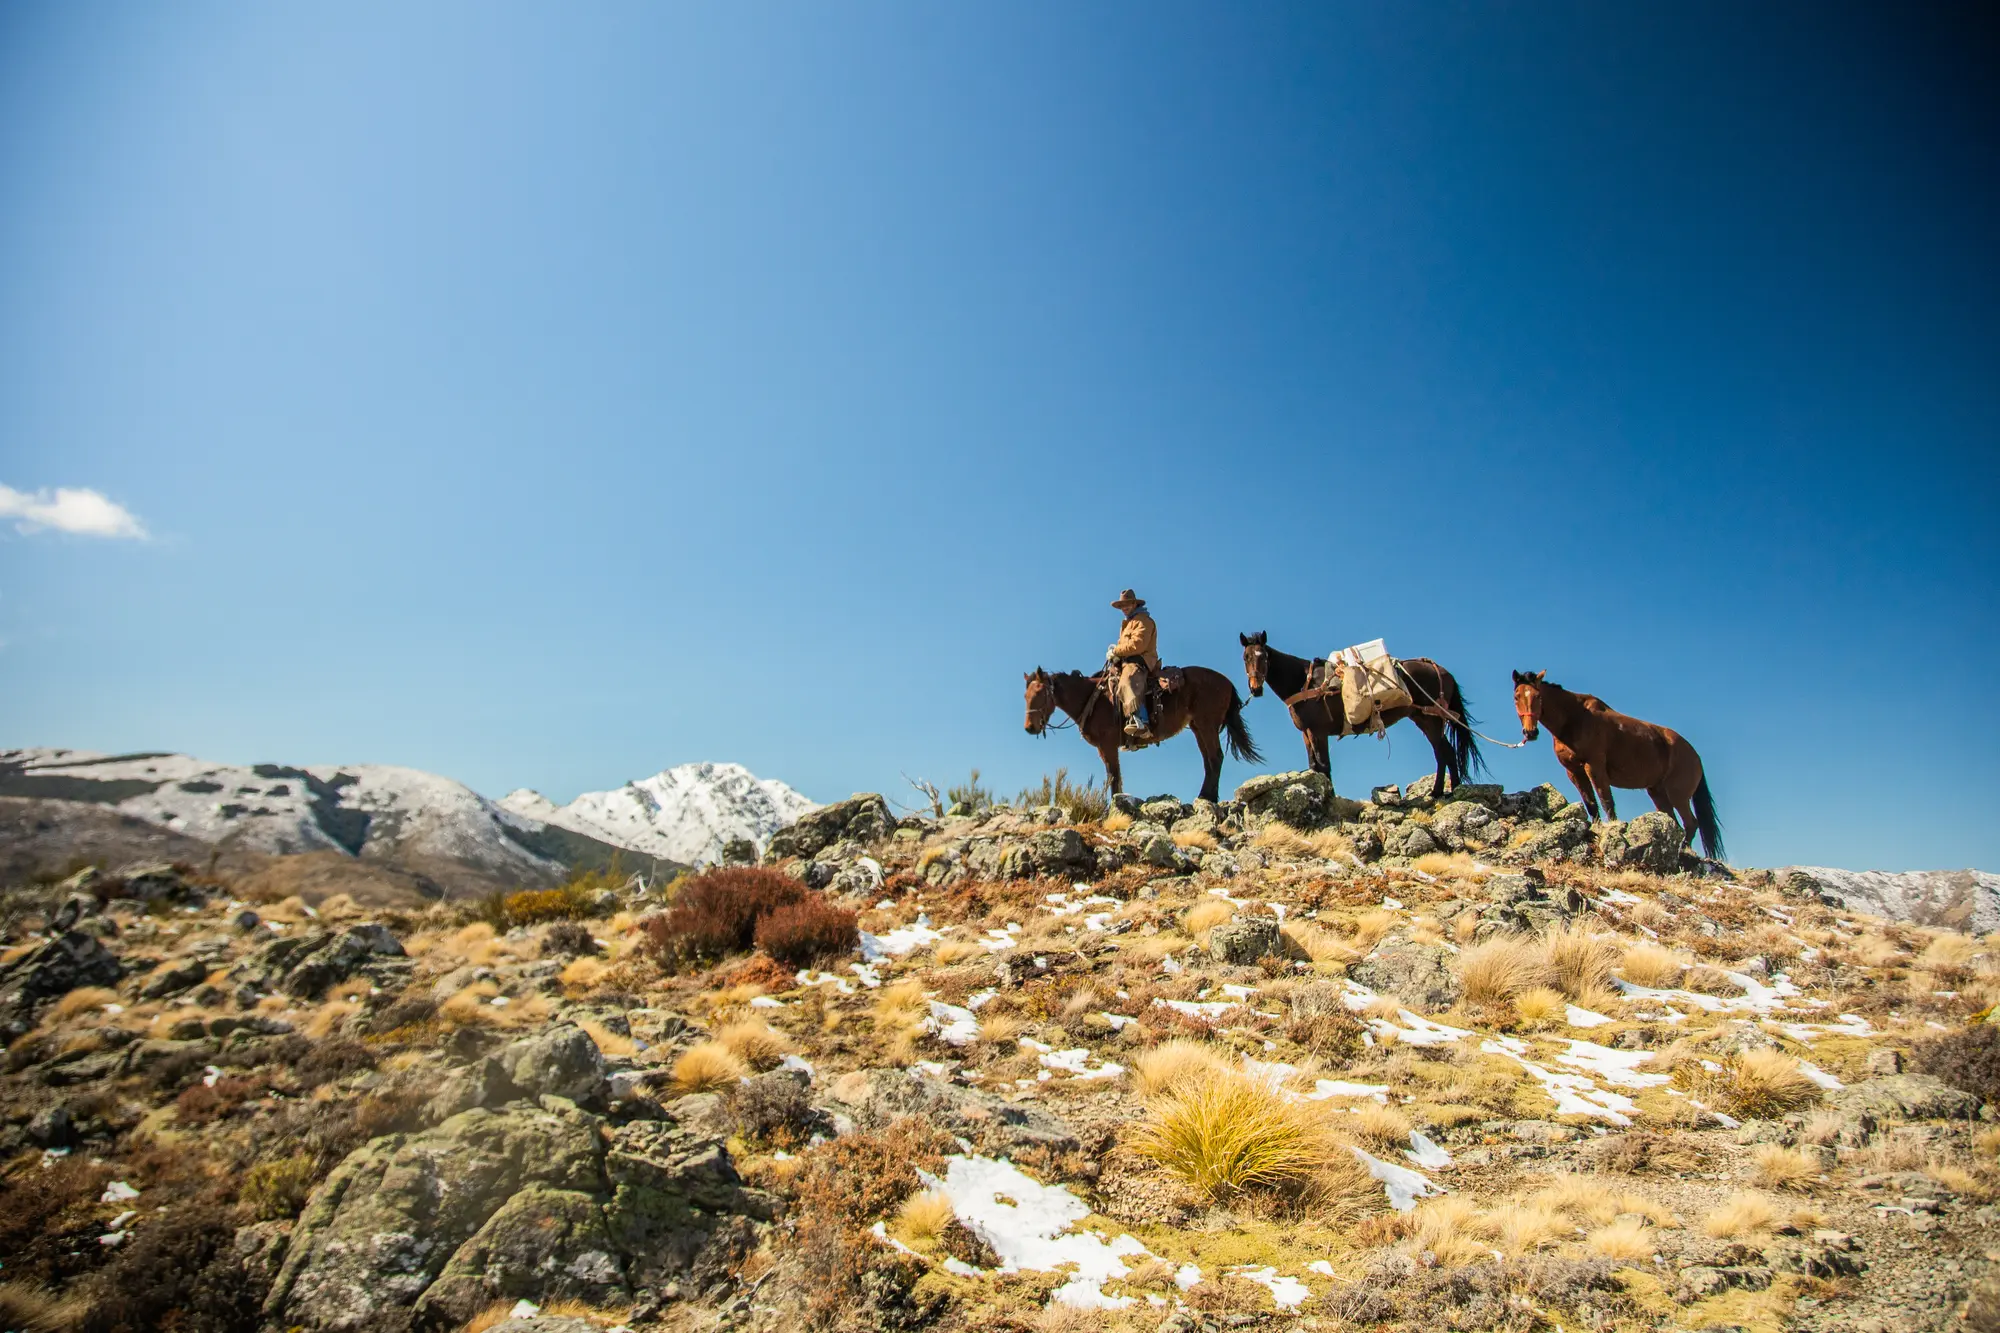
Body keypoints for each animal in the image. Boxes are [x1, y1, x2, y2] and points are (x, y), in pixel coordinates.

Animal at [1023, 666, 1261, 802]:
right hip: (1198, 727)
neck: (1093, 699)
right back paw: (1206, 796)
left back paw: (1207, 797)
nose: (1029, 727)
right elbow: (1115, 777)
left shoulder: (1107, 746)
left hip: (1206, 725)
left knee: (1215, 757)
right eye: (1026, 696)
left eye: (1041, 693)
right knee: (1209, 761)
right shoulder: (1105, 748)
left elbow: (1114, 776)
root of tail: (1227, 682)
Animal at [1238, 632, 1485, 795]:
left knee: (1444, 753)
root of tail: (1442, 670)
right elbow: (1314, 766)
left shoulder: (1318, 732)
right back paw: (1442, 791)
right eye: (1246, 658)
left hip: (1432, 719)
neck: (1303, 683)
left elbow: (1324, 766)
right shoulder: (1306, 733)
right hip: (1423, 719)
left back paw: (1445, 792)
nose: (1255, 689)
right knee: (1443, 752)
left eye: (1264, 657)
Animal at [1511, 670, 1724, 861]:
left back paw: (1683, 850)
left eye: (1538, 696)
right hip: (1657, 792)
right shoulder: (1574, 772)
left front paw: (1614, 831)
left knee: (1691, 823)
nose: (1530, 732)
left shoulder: (1595, 767)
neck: (1574, 719)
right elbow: (1591, 804)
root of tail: (1695, 756)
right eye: (1516, 697)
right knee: (1674, 822)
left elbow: (1606, 802)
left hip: (1677, 794)